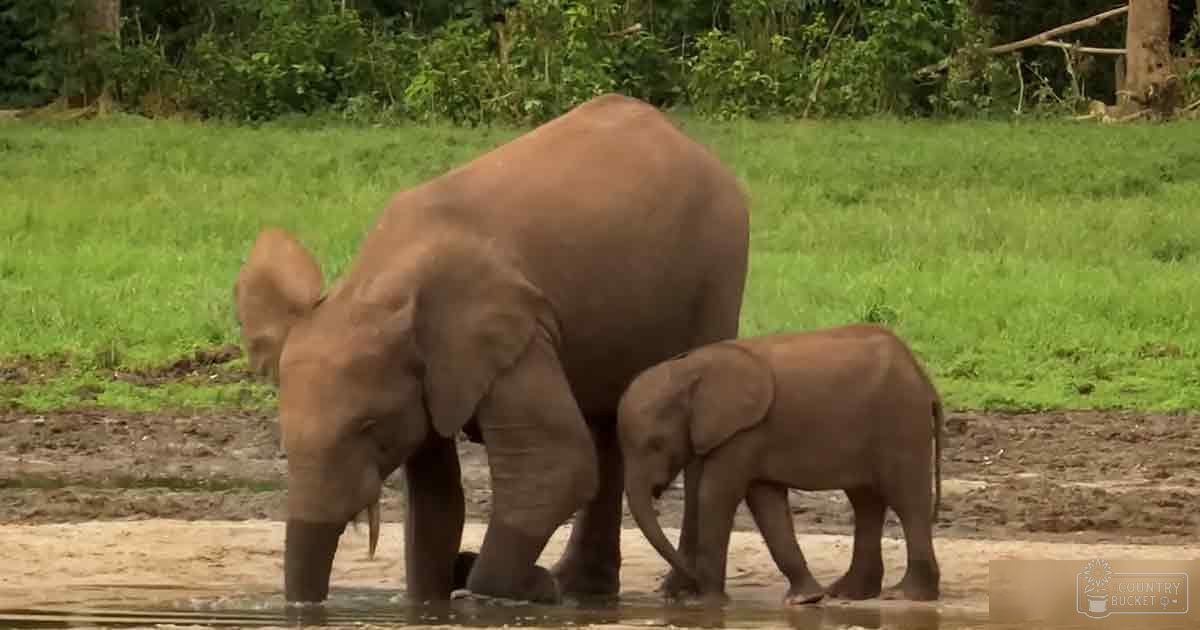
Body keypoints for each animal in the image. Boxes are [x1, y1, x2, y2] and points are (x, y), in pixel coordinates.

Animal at [232, 93, 750, 606]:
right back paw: (581, 590)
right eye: (284, 442)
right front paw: (431, 601)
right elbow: (436, 498)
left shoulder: (511, 334)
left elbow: (555, 464)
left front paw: (514, 585)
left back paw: (678, 592)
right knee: (607, 425)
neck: (375, 285)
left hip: (719, 269)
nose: (304, 609)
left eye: (368, 427)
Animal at [616, 323, 944, 606]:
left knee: (906, 500)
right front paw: (806, 599)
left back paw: (907, 595)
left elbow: (716, 495)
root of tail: (923, 378)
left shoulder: (743, 432)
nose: (682, 589)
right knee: (866, 502)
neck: (689, 369)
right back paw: (847, 593)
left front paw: (706, 603)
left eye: (656, 444)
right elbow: (766, 503)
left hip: (901, 420)